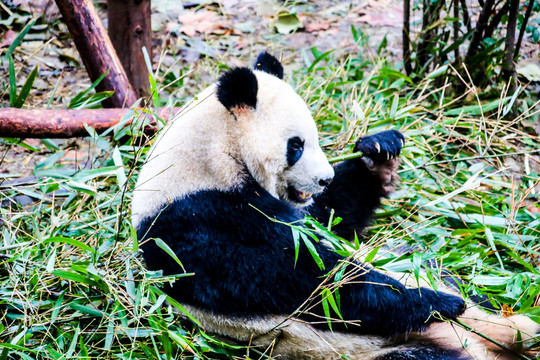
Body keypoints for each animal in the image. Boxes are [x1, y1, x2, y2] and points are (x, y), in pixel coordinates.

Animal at [132, 51, 540, 360]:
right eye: (296, 145)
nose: (324, 178)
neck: (209, 158)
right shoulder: (200, 221)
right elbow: (314, 283)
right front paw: (434, 302)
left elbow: (332, 219)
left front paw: (378, 152)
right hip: (381, 349)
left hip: (433, 270)